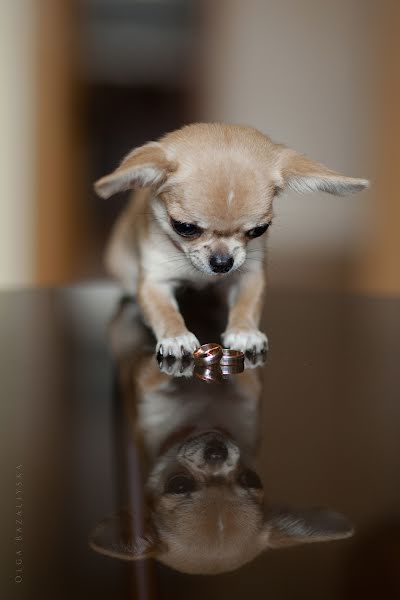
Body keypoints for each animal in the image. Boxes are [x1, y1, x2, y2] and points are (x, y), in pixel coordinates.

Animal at [94, 122, 368, 356]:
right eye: (184, 227)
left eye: (259, 230)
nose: (222, 263)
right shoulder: (155, 282)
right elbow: (164, 311)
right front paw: (176, 336)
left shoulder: (249, 273)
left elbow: (248, 303)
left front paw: (244, 332)